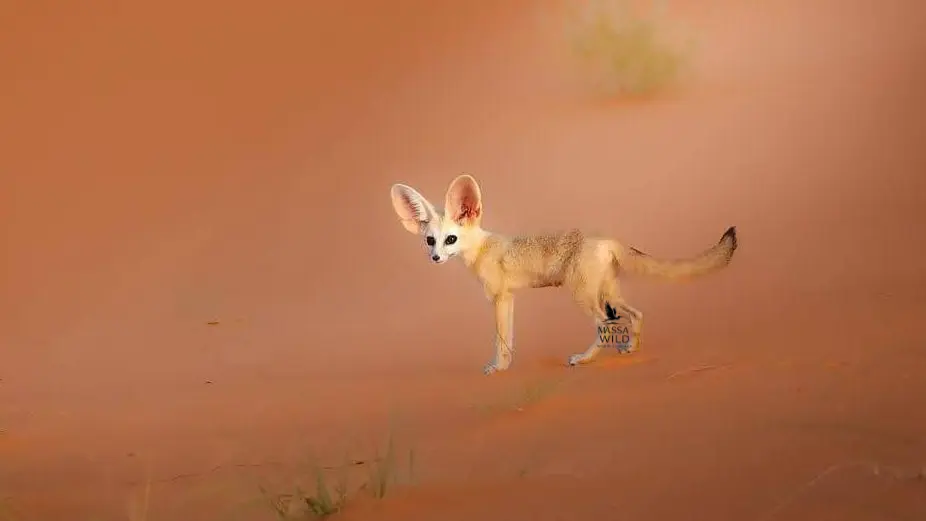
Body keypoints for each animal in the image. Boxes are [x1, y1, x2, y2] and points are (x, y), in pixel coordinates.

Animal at [389, 174, 738, 375]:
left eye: (450, 239)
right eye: (430, 241)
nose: (435, 258)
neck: (482, 248)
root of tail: (606, 237)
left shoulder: (499, 297)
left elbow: (500, 338)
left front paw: (498, 368)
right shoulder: (510, 298)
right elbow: (509, 338)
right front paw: (507, 365)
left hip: (583, 295)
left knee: (605, 324)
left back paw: (584, 360)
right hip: (609, 292)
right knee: (636, 314)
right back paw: (630, 350)